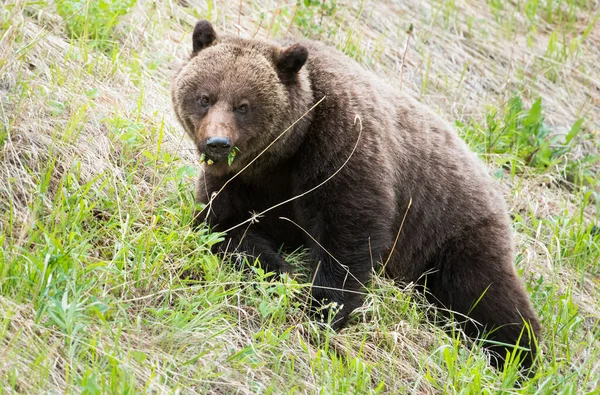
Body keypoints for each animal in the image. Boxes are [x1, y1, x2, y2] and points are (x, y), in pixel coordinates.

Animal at [171, 20, 540, 374]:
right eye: (204, 97)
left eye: (244, 106)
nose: (218, 143)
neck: (284, 153)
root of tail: (491, 179)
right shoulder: (245, 183)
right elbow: (227, 227)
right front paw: (281, 273)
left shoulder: (342, 145)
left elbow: (349, 231)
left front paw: (321, 308)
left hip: (452, 227)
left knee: (485, 295)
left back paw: (518, 356)